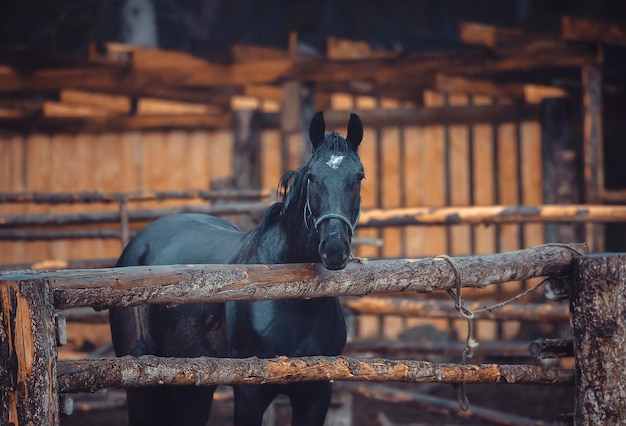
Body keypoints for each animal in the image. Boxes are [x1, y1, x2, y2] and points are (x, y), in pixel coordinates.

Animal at [109, 111, 364, 424]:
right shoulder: (250, 392)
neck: (292, 301)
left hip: (194, 388)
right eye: (312, 178)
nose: (334, 248)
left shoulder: (316, 393)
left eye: (359, 177)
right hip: (139, 377)